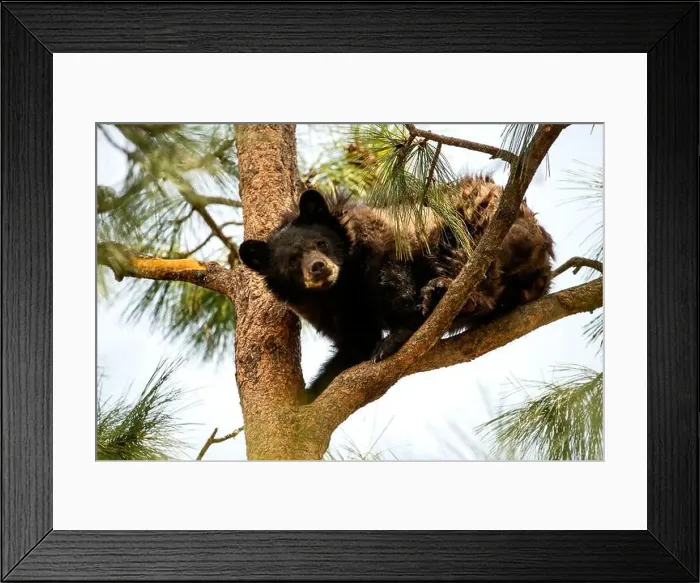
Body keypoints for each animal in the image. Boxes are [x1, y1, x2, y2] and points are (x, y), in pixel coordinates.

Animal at [239, 176, 554, 402]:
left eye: (321, 243)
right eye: (291, 261)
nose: (318, 267)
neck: (341, 286)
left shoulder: (381, 243)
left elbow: (393, 282)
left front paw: (396, 336)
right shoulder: (326, 310)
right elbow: (355, 343)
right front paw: (315, 388)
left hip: (482, 219)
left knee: (472, 257)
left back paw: (448, 293)